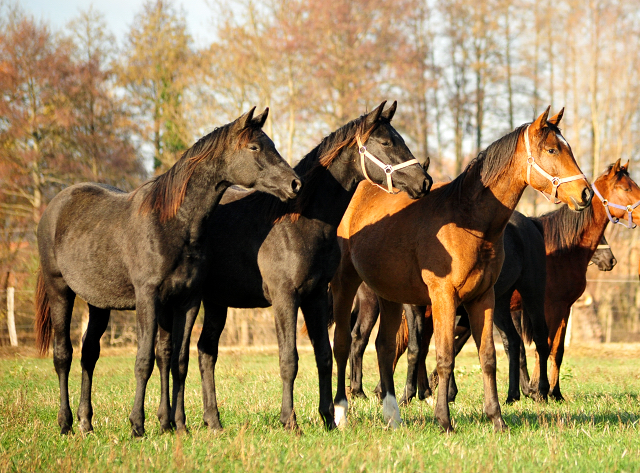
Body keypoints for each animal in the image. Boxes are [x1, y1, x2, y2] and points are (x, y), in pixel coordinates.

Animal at [35, 107, 302, 436]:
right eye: (254, 147)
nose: (295, 184)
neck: (173, 223)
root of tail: (55, 205)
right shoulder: (148, 298)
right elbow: (144, 361)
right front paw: (137, 425)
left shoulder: (187, 301)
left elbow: (178, 361)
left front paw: (178, 425)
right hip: (59, 291)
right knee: (63, 355)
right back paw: (66, 424)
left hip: (98, 303)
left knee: (89, 353)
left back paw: (87, 423)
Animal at [154, 101, 430, 434]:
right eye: (387, 142)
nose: (424, 182)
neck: (299, 221)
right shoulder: (285, 298)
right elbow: (289, 360)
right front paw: (290, 421)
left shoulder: (314, 297)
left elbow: (324, 355)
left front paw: (328, 418)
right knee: (174, 353)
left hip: (217, 302)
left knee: (206, 352)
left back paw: (214, 421)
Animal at [330, 108, 596, 432]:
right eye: (552, 150)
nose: (585, 194)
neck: (467, 220)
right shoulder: (443, 298)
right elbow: (444, 357)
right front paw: (443, 419)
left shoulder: (483, 298)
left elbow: (488, 357)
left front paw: (496, 418)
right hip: (347, 286)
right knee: (344, 343)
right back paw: (344, 407)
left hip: (389, 295)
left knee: (384, 346)